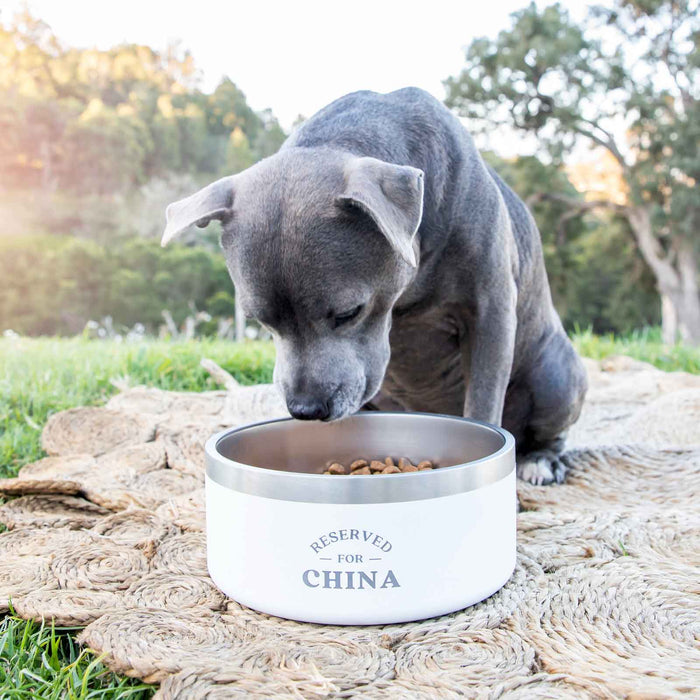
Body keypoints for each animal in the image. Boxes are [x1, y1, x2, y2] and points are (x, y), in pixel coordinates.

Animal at [163, 87, 584, 484]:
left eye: (350, 312)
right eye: (261, 321)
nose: (305, 409)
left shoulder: (489, 312)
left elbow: (483, 399)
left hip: (557, 376)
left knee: (548, 433)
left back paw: (538, 462)